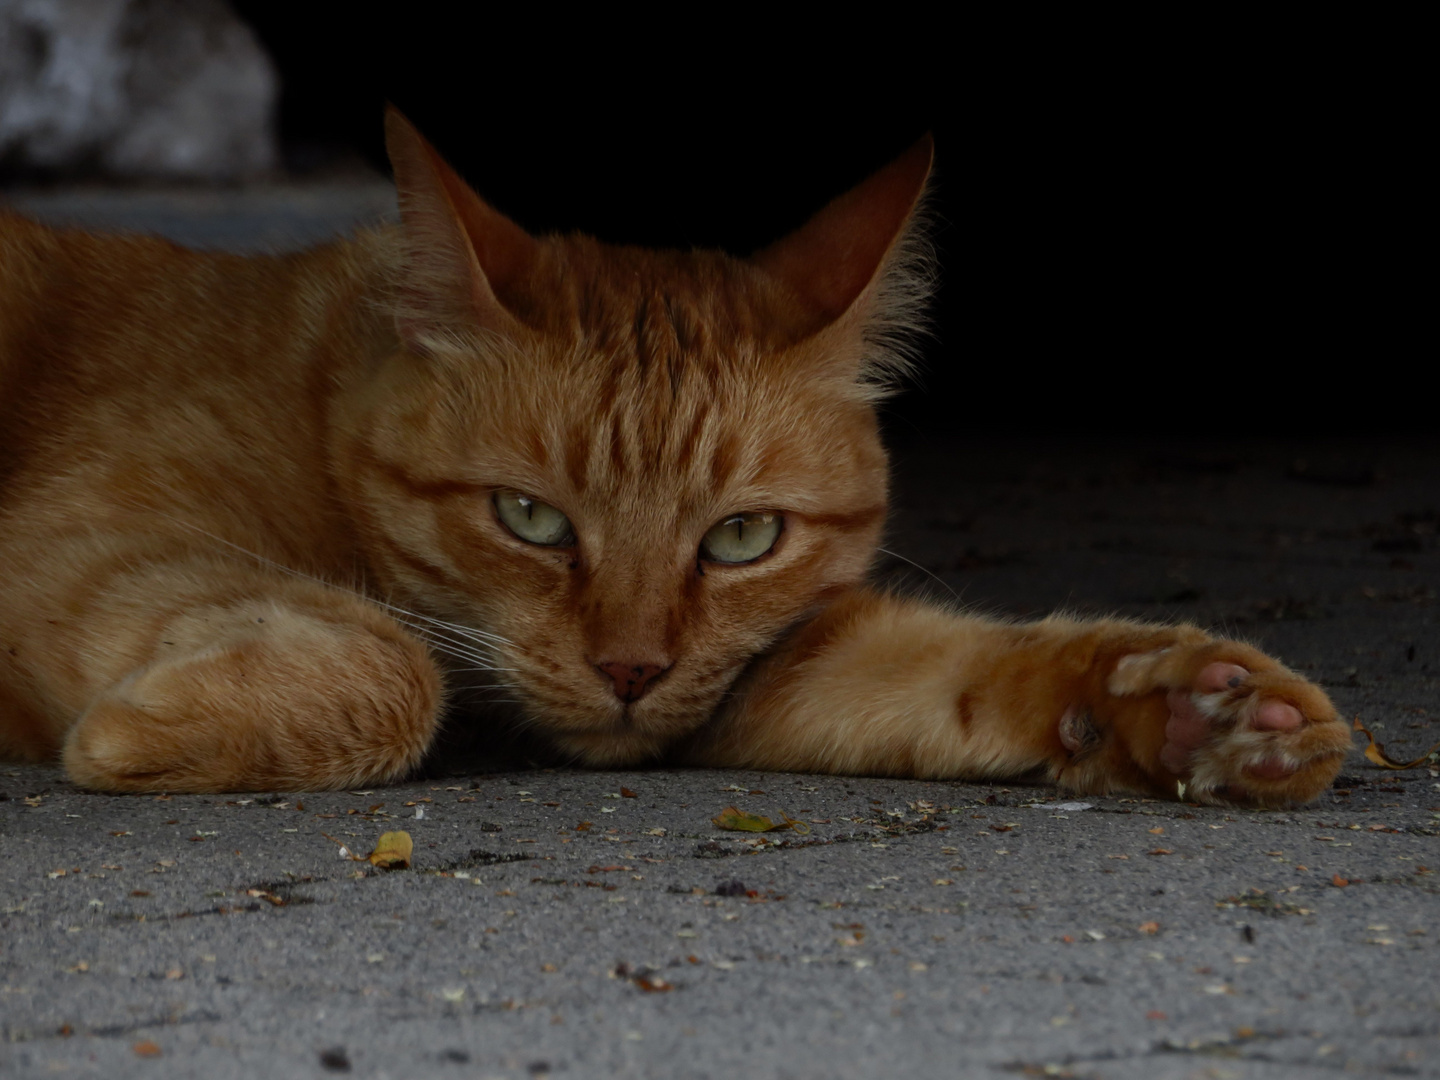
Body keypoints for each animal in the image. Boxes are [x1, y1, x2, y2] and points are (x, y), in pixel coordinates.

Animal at [0, 112, 1347, 806]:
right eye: (530, 519)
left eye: (742, 536)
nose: (631, 671)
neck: (321, 396)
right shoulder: (84, 537)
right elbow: (398, 667)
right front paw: (149, 730)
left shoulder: (759, 673)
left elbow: (955, 669)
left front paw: (1190, 709)